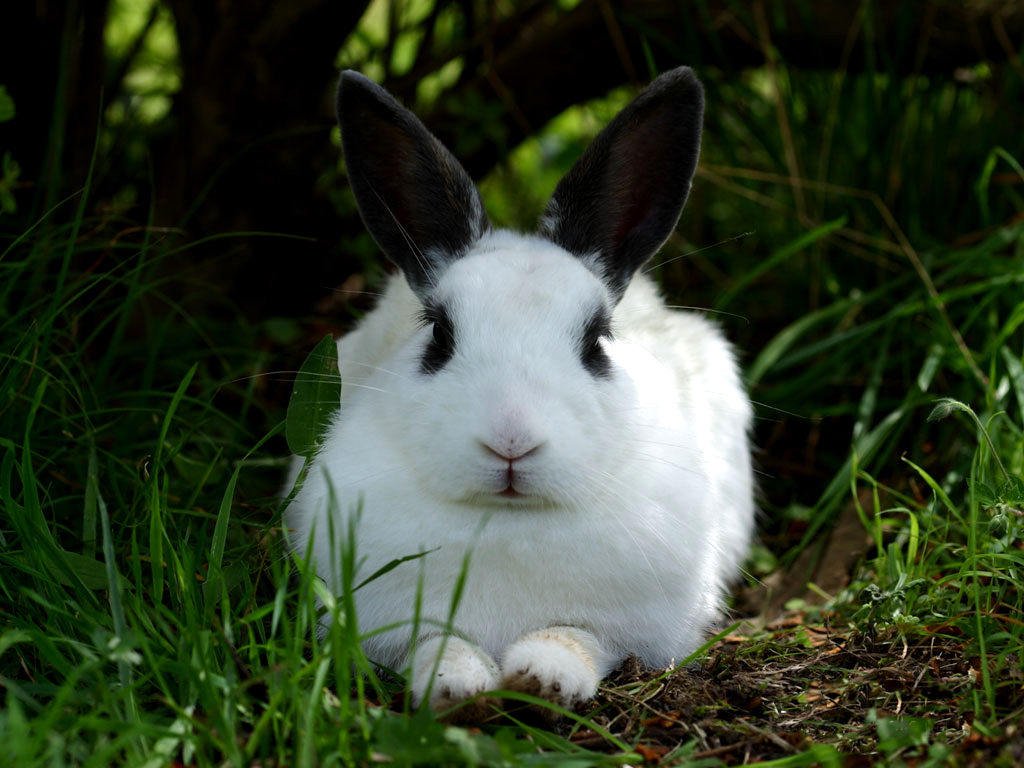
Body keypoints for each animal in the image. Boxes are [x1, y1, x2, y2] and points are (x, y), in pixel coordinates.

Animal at [284, 66, 757, 720]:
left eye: (597, 341)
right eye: (440, 334)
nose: (512, 441)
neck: (508, 520)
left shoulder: (629, 627)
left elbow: (577, 637)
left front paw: (542, 680)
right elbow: (435, 643)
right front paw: (458, 687)